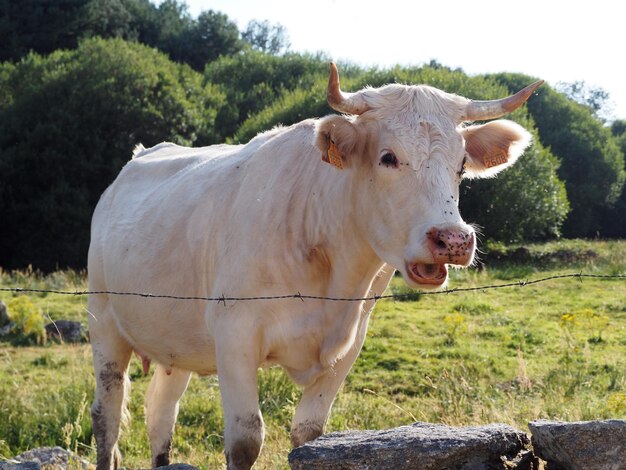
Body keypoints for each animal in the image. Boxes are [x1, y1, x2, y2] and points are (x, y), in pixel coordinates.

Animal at [88, 63, 540, 470]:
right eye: (388, 157)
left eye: (461, 165)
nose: (453, 240)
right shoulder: (234, 332)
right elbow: (245, 439)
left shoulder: (349, 343)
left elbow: (310, 436)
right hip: (104, 321)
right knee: (107, 413)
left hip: (175, 342)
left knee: (160, 412)